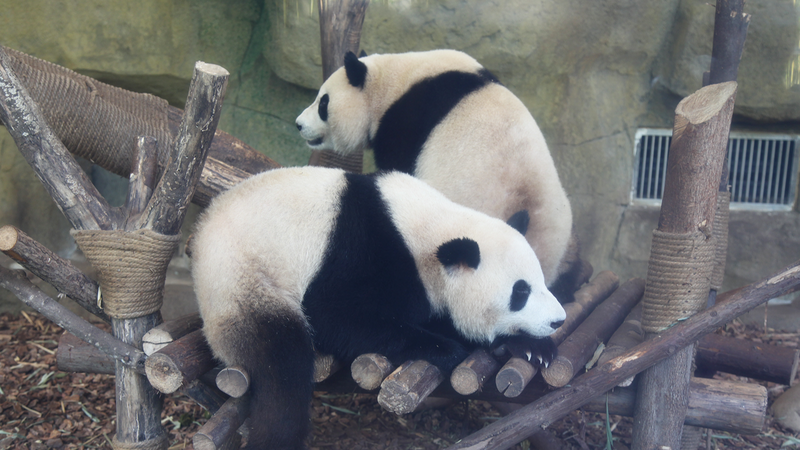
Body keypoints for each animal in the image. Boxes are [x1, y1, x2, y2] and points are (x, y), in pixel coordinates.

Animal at [191, 166, 566, 449]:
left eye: (541, 282)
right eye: (520, 292)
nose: (558, 321)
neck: (428, 229)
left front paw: (530, 347)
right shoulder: (364, 250)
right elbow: (335, 315)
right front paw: (442, 347)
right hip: (246, 284)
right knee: (283, 365)